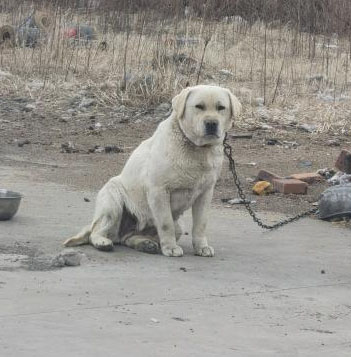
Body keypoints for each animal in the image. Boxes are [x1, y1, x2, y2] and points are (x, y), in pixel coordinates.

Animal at [64, 84, 242, 256]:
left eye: (221, 108)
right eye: (199, 106)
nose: (211, 123)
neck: (196, 148)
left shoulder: (205, 194)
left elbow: (200, 224)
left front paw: (201, 247)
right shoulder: (159, 191)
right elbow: (165, 224)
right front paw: (171, 248)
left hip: (178, 225)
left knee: (128, 238)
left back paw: (145, 244)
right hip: (112, 198)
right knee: (97, 230)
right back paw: (103, 242)